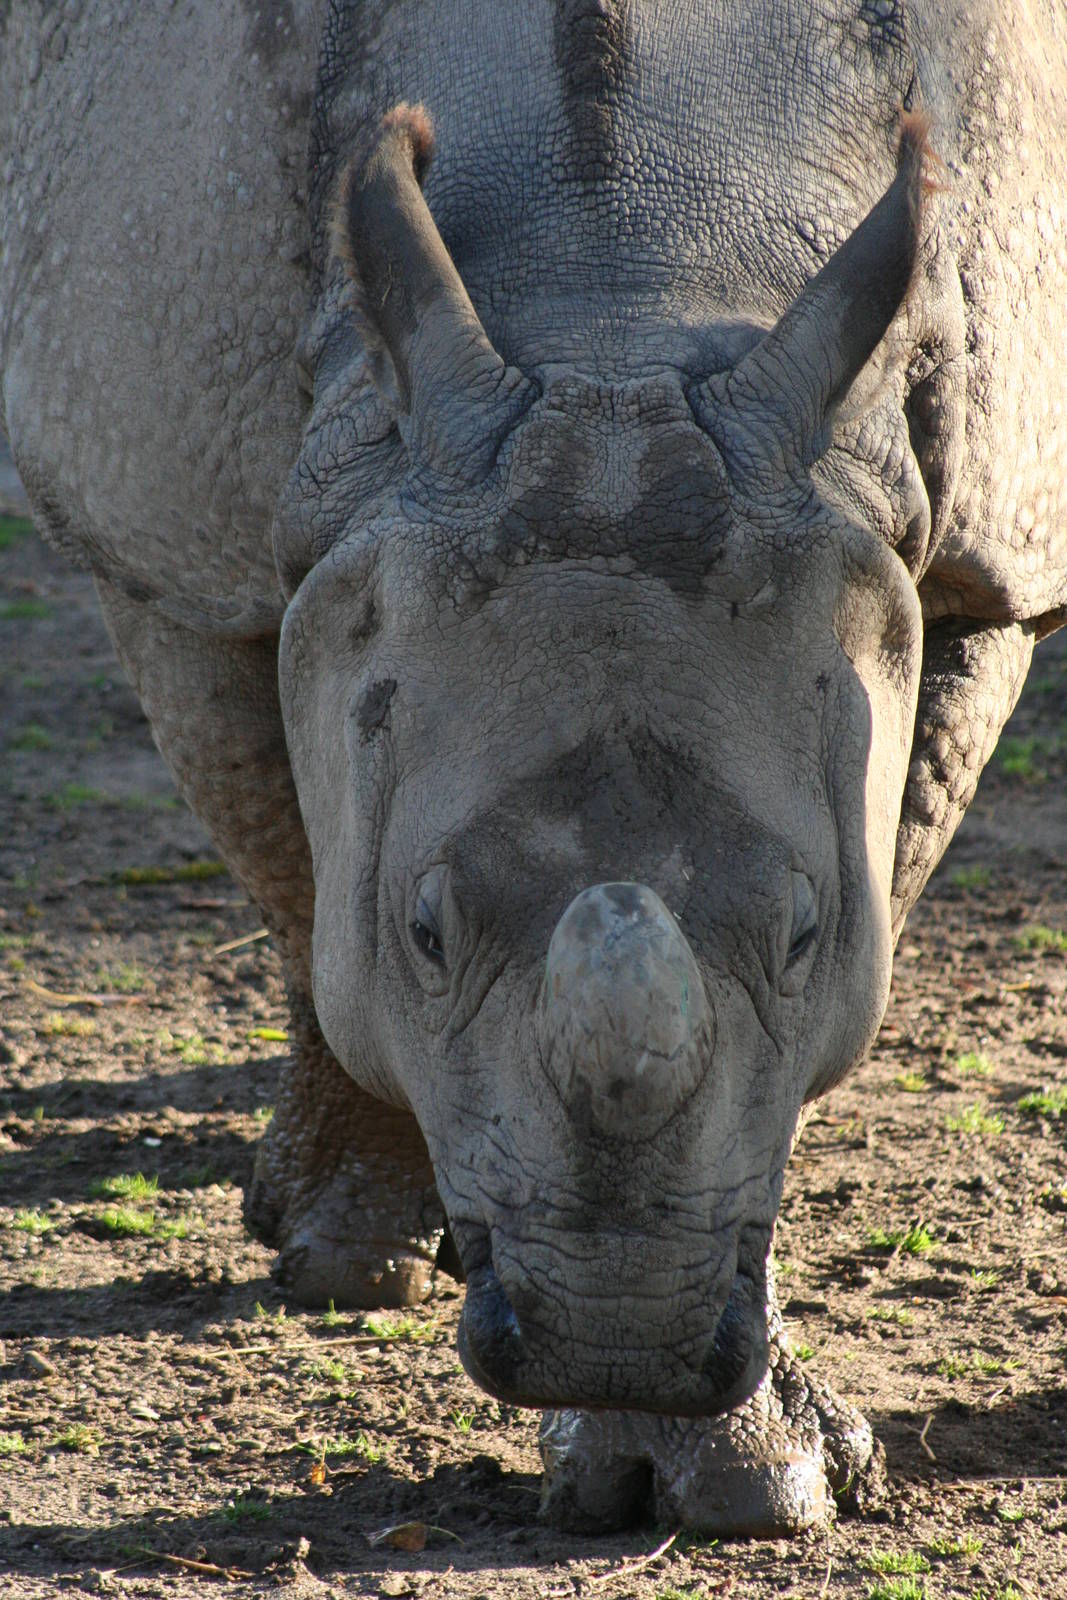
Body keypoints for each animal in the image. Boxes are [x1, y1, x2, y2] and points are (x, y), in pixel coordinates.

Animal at [1, 0, 1064, 1537]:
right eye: (425, 933)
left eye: (806, 933)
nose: (612, 1337)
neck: (613, 300)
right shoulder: (162, 528)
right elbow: (292, 863)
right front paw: (345, 1250)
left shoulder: (980, 550)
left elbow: (832, 975)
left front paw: (723, 1467)